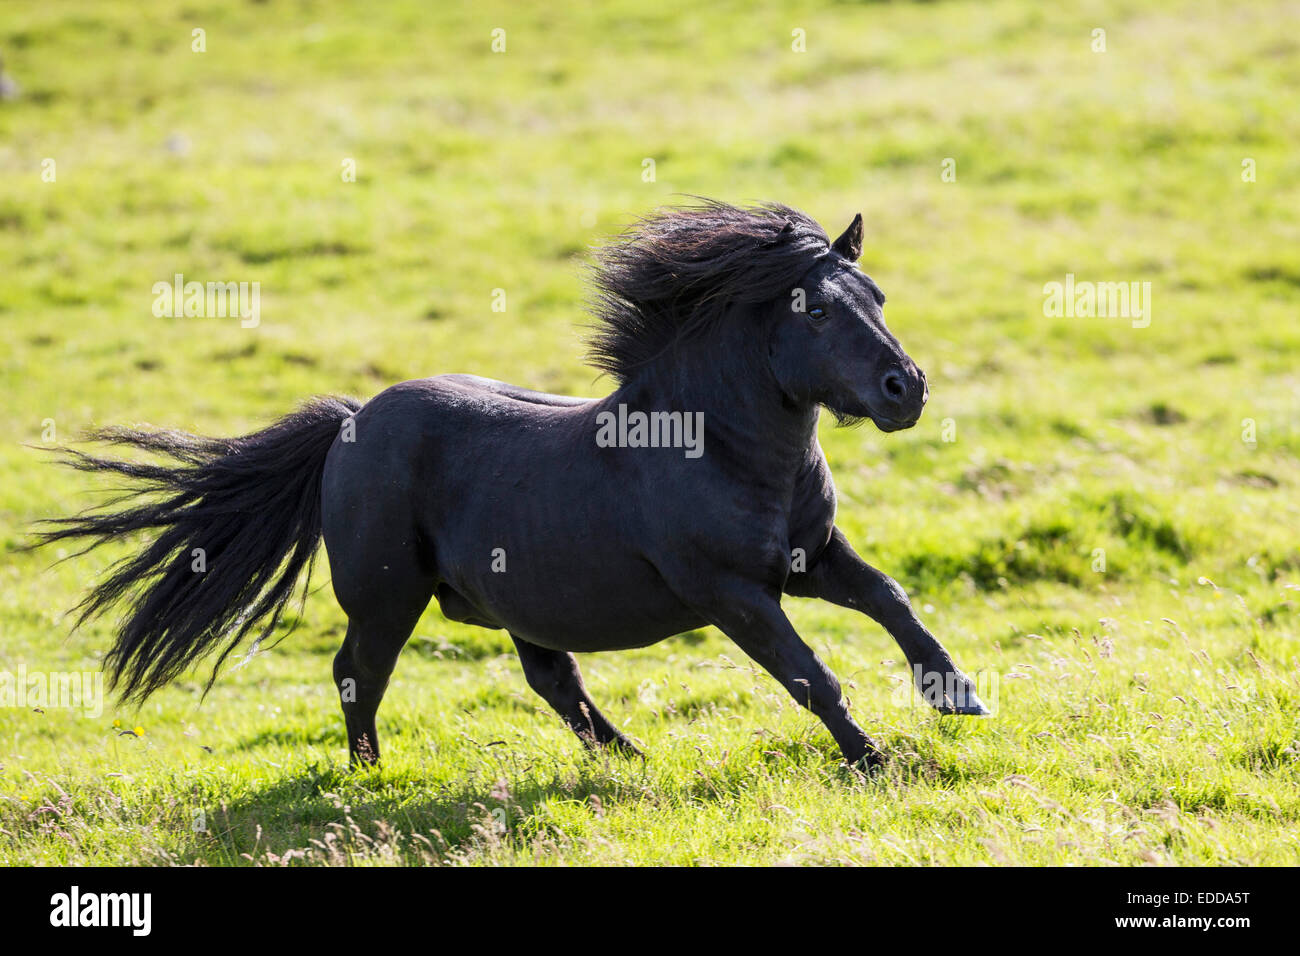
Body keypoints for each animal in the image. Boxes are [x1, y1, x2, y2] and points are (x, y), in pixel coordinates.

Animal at [37, 200, 987, 772]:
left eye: (877, 294)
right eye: (815, 311)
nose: (907, 389)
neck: (718, 449)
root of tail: (349, 422)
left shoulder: (810, 556)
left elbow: (894, 600)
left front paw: (959, 698)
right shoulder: (731, 592)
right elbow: (809, 673)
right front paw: (876, 760)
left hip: (513, 597)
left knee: (552, 680)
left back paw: (631, 762)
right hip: (386, 597)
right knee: (358, 671)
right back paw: (367, 777)